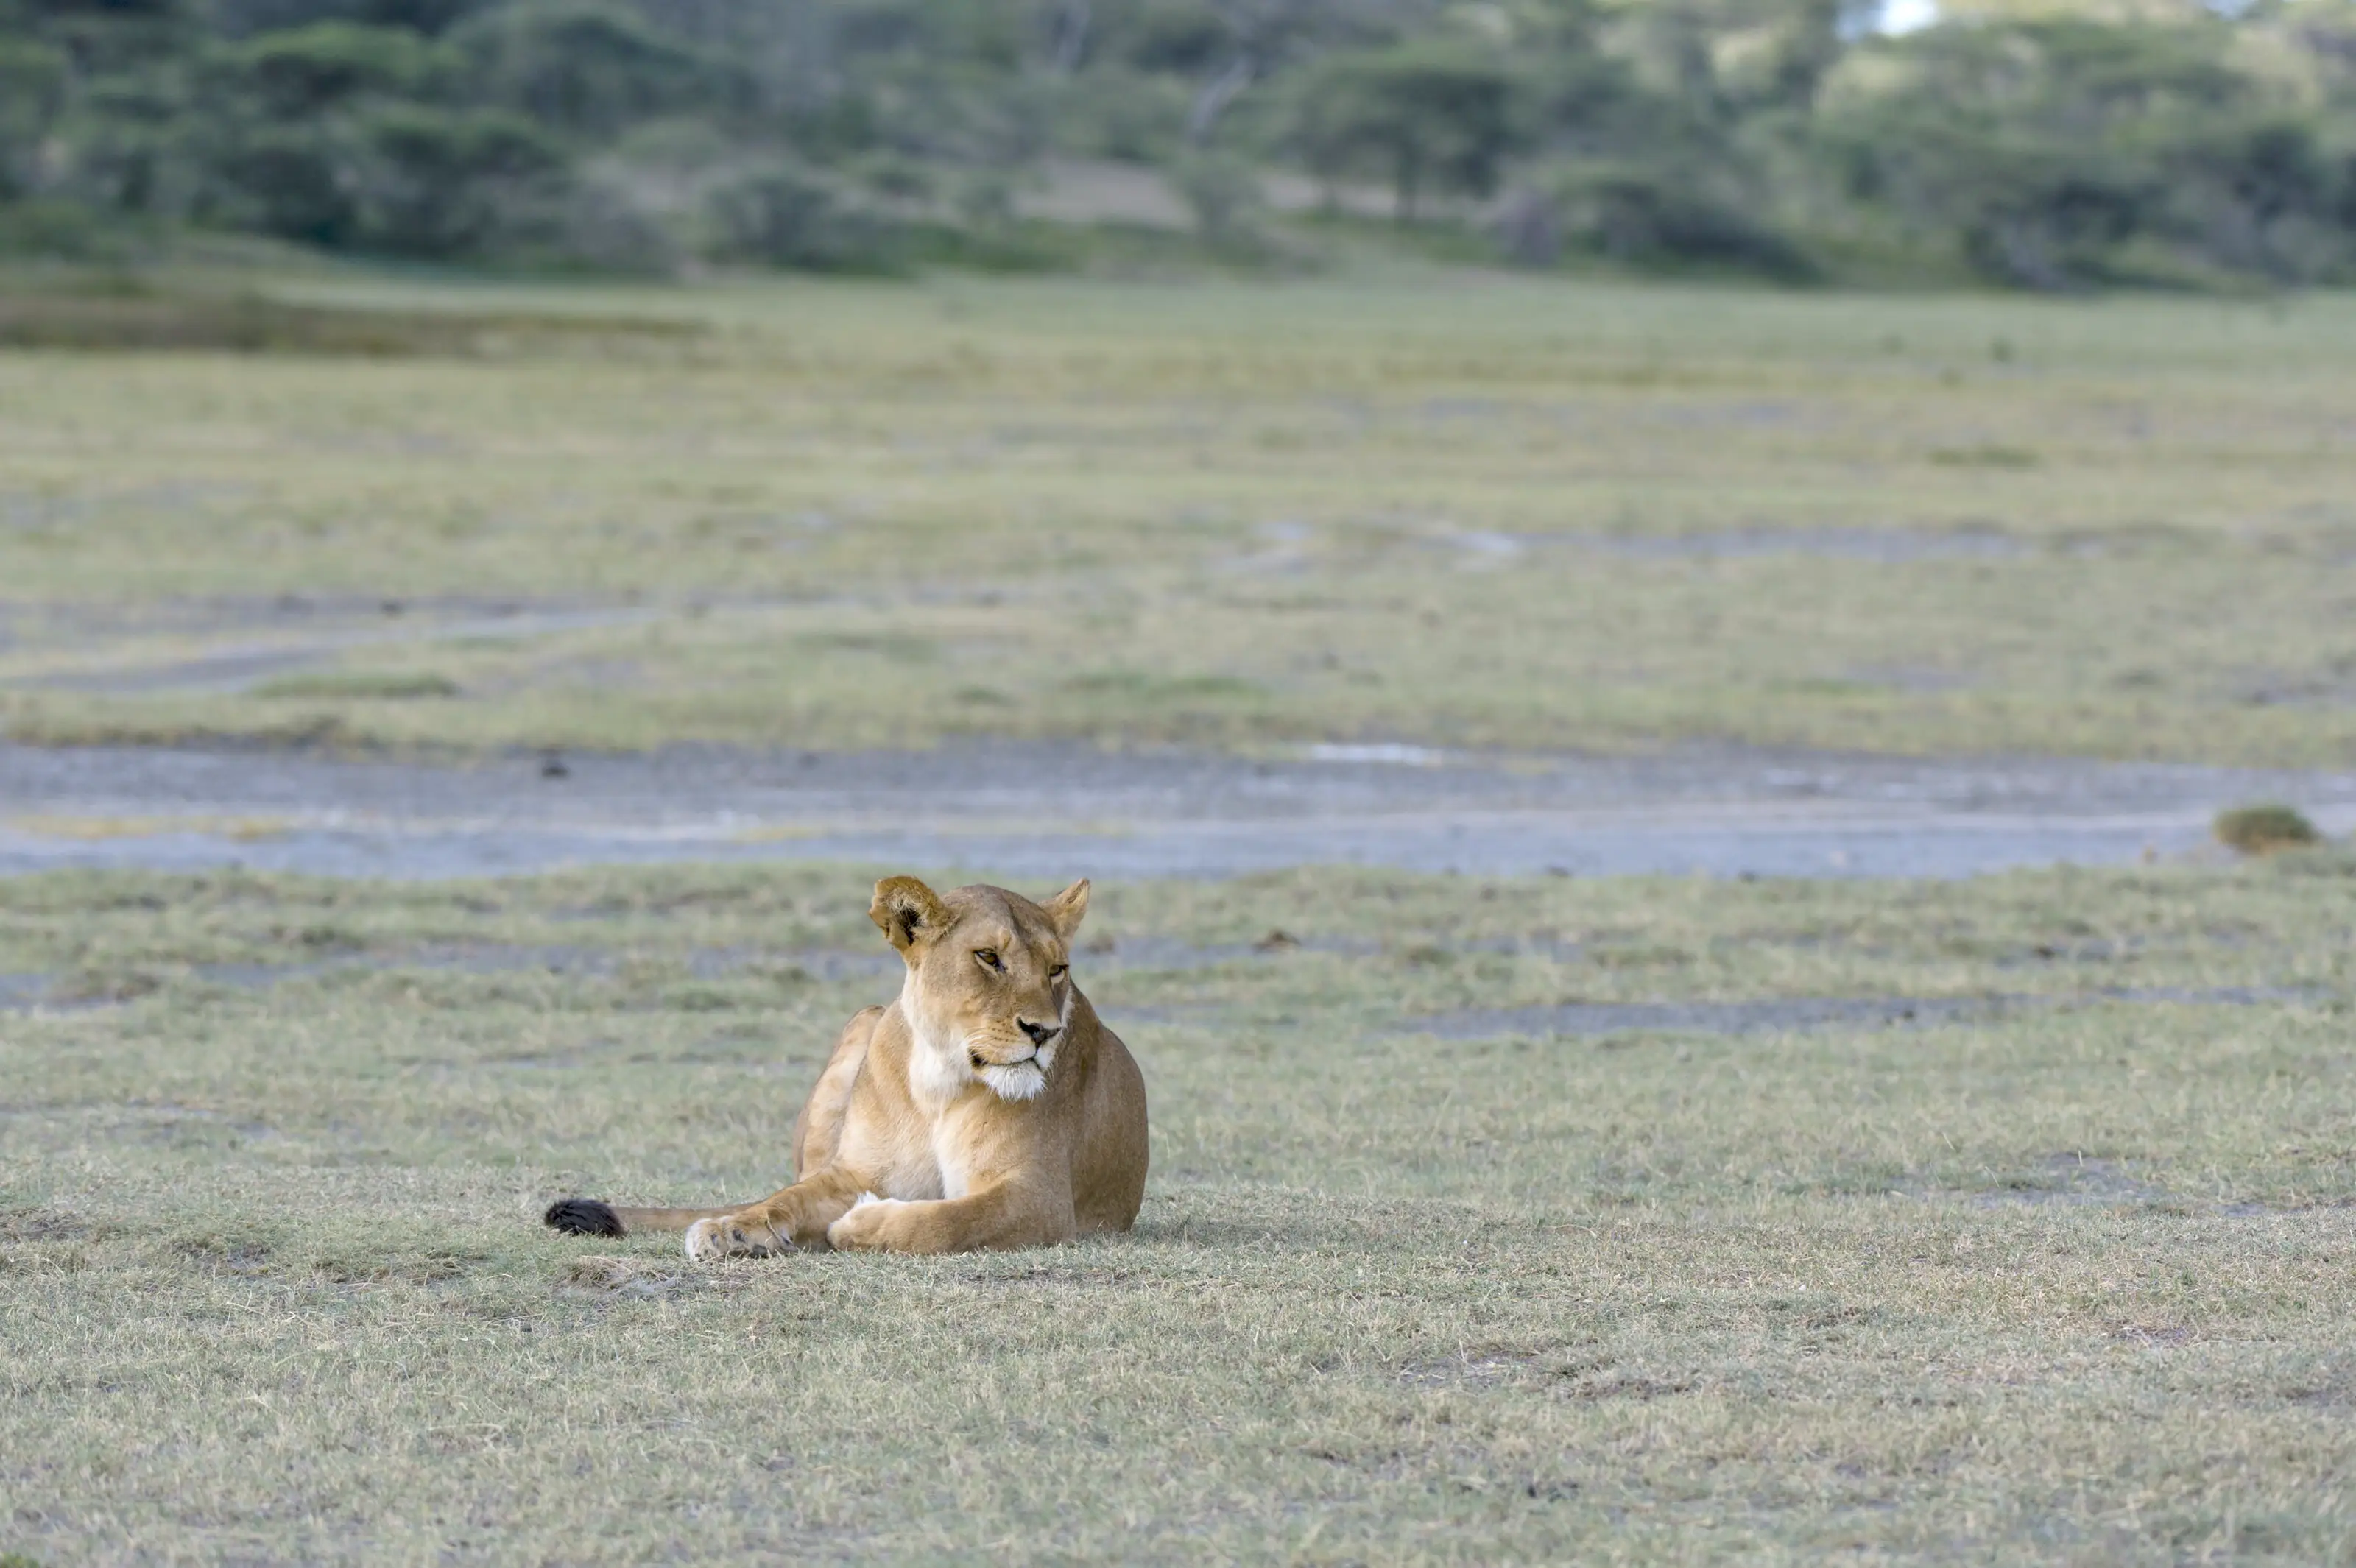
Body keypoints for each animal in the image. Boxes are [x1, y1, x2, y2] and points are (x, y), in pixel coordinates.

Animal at [542, 875, 1147, 1259]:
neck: (940, 1081)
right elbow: (784, 1200)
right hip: (863, 1021)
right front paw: (728, 1231)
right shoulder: (853, 1173)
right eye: (988, 958)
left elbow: (948, 1221)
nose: (1044, 1032)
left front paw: (861, 1223)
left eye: (1056, 969)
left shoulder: (1040, 1198)